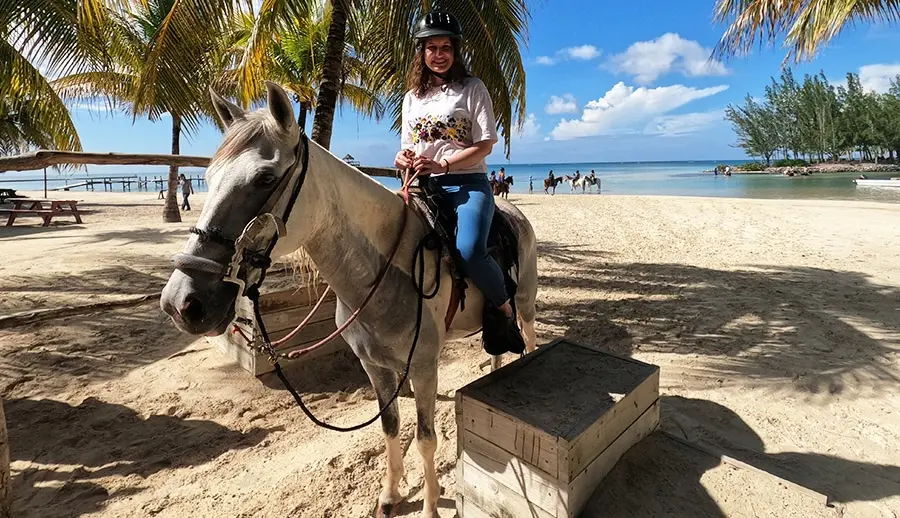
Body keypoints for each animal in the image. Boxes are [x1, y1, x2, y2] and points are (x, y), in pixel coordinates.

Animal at [159, 82, 538, 518]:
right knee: (496, 349)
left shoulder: (425, 368)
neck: (385, 270)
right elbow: (390, 427)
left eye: (265, 178)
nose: (180, 302)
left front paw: (428, 506)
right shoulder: (374, 367)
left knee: (528, 339)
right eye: (206, 176)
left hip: (525, 305)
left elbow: (426, 439)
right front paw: (390, 495)